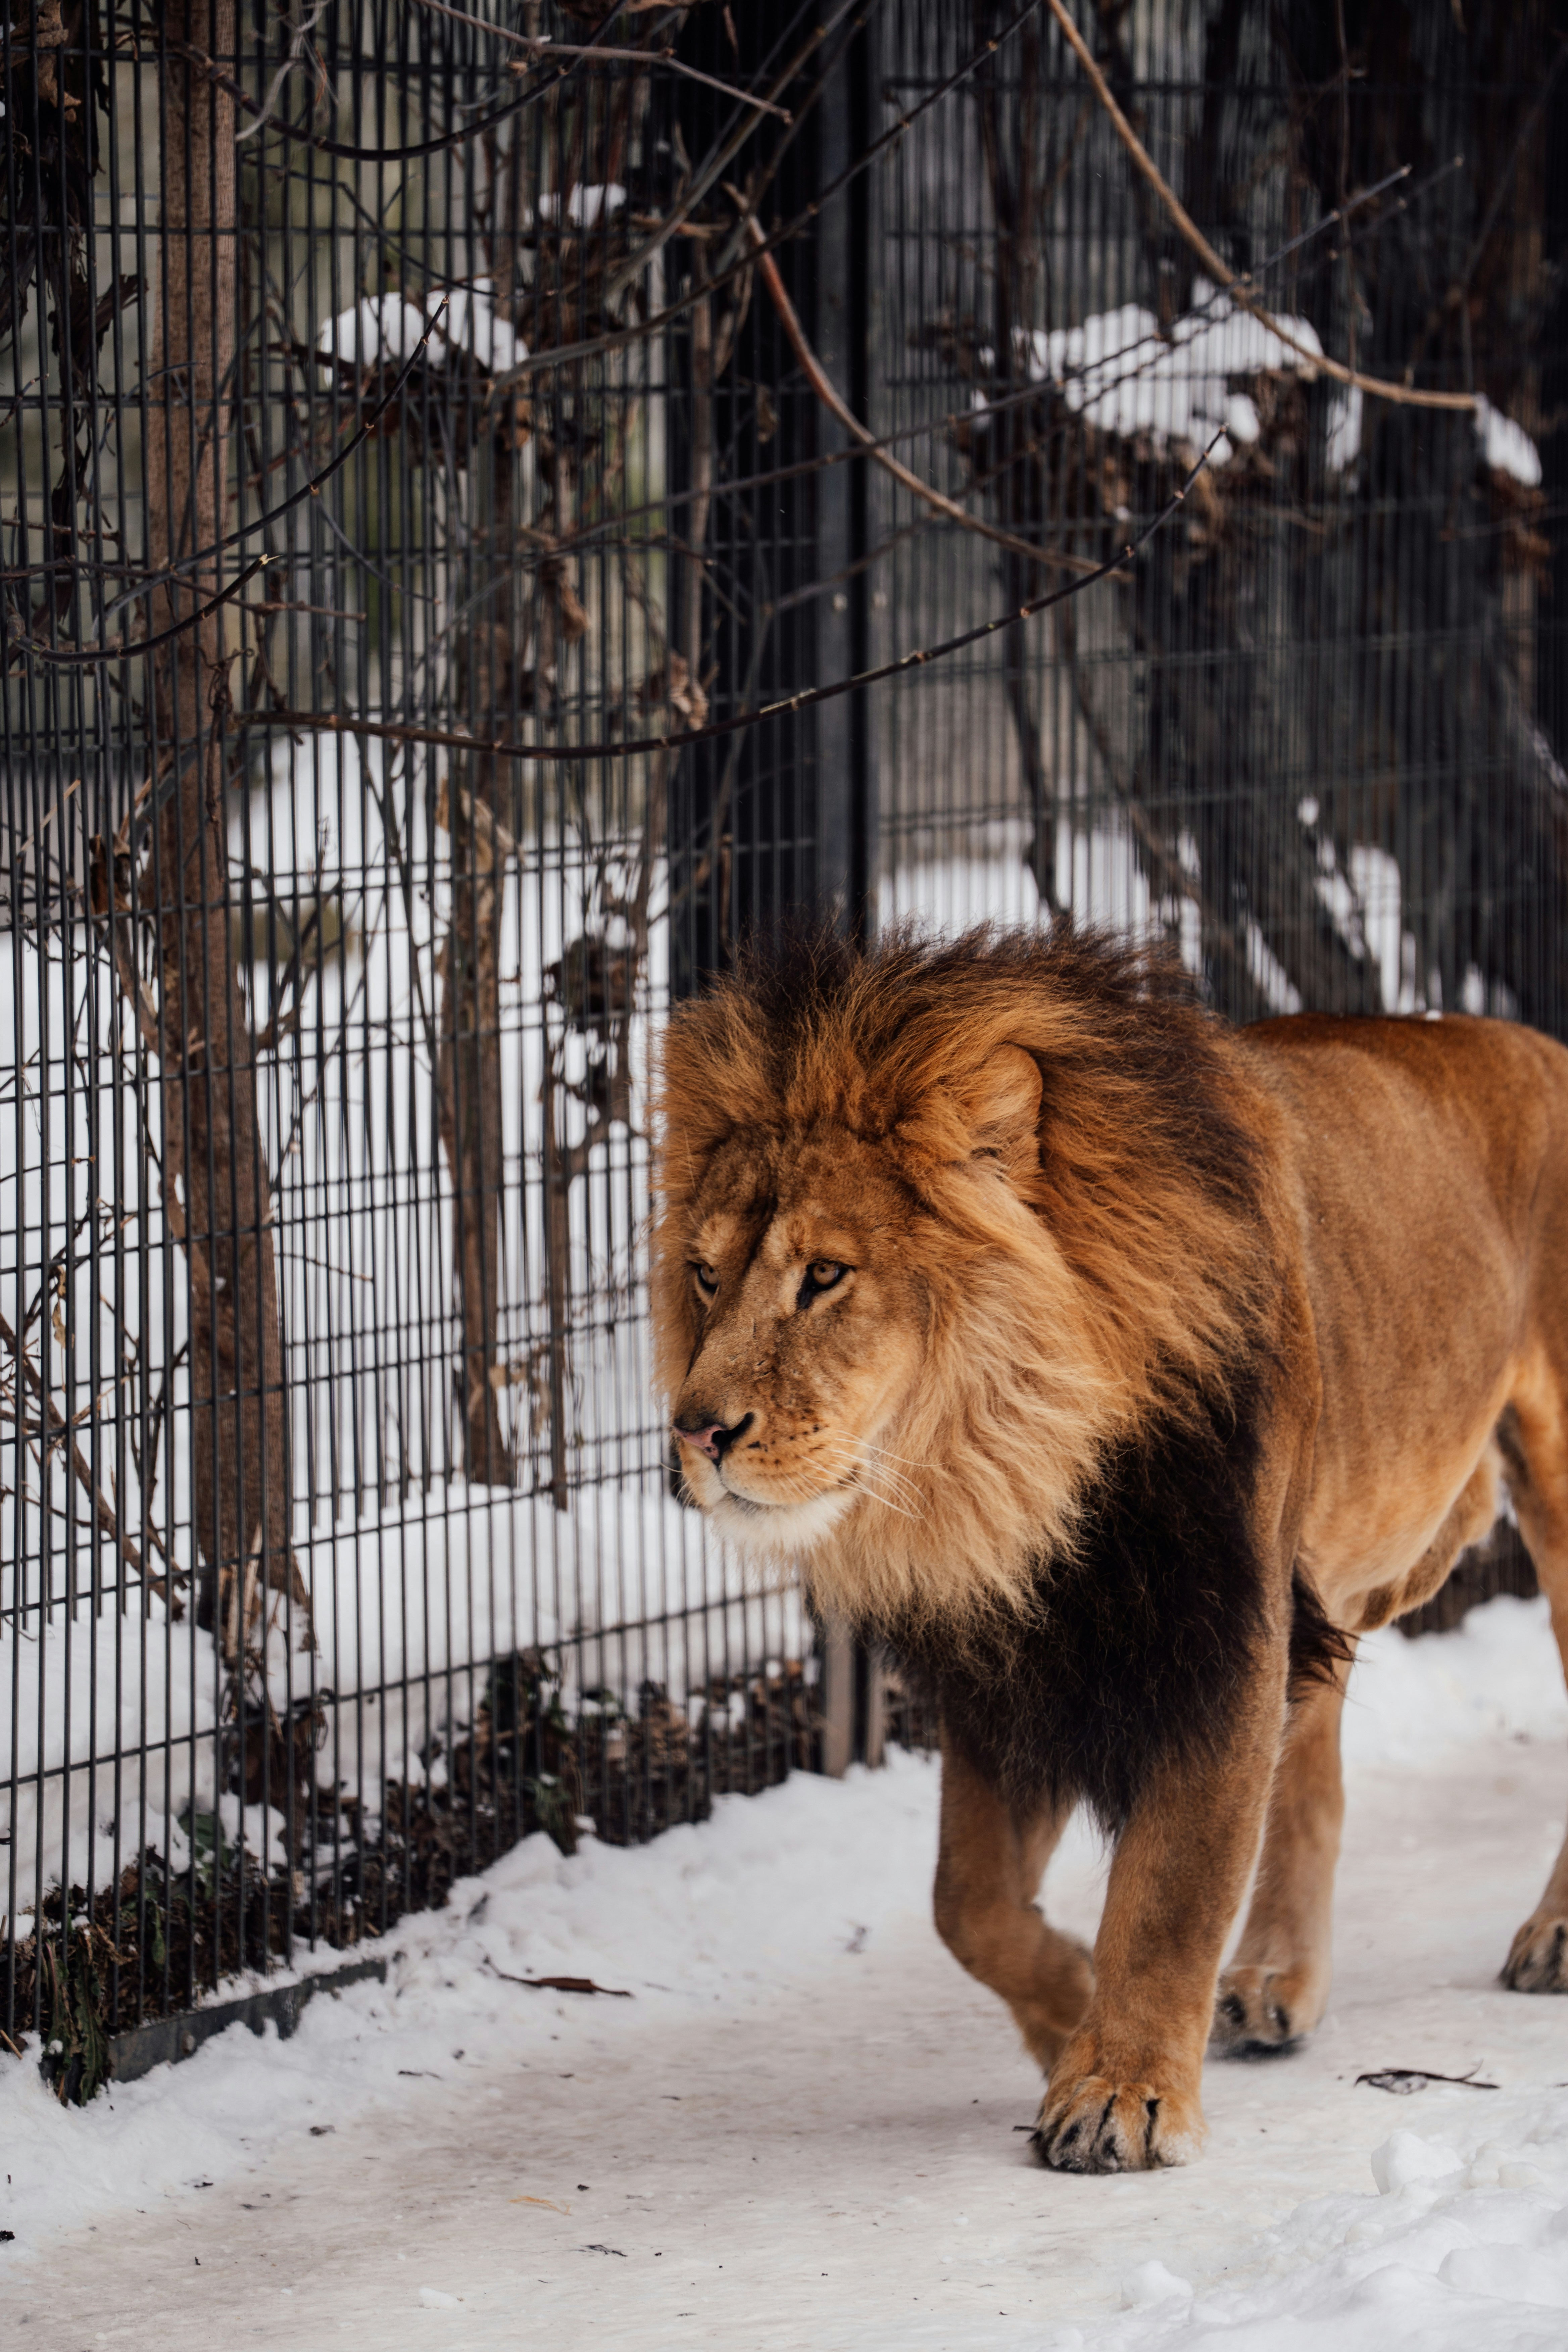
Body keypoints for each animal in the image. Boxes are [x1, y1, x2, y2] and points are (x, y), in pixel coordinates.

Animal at [650, 924, 1568, 2174]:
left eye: (824, 1274)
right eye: (704, 1275)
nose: (696, 1432)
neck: (1011, 1473)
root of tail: (1530, 1040)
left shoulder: (1216, 1628)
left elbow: (1173, 1880)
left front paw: (1122, 2090)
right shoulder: (1021, 1660)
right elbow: (966, 1901)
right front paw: (1072, 2009)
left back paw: (1550, 1935)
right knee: (1314, 1755)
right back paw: (1275, 1973)